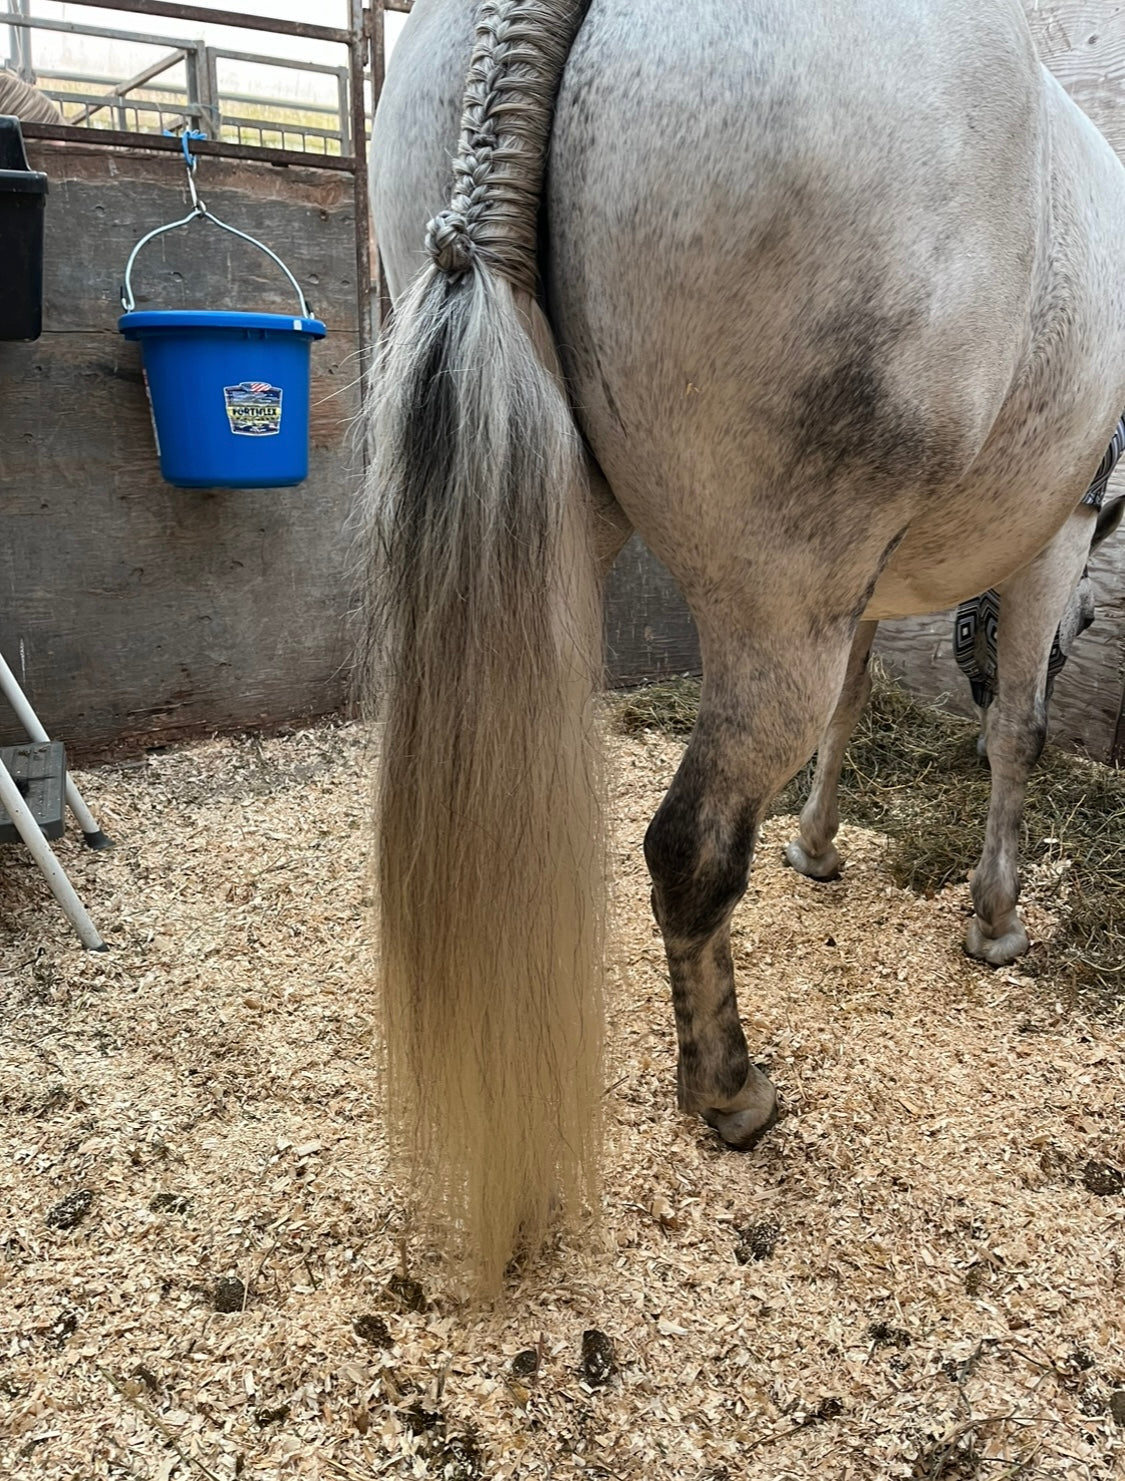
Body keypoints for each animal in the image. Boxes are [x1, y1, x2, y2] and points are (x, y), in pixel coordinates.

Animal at [364, 0, 1125, 1290]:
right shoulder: (1050, 540)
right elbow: (1015, 734)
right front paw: (995, 918)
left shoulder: (866, 589)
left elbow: (857, 702)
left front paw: (818, 846)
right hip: (782, 588)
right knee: (690, 848)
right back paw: (730, 1089)